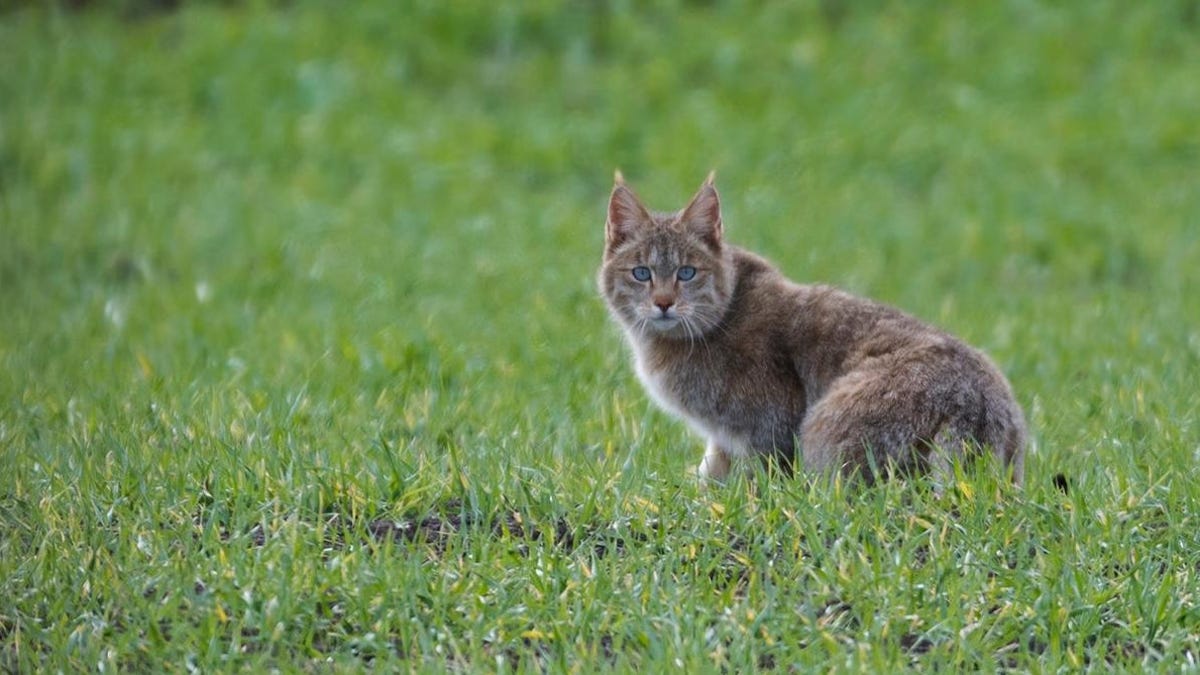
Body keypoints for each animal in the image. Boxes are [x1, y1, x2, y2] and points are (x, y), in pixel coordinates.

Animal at [595, 169, 1027, 482]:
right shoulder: (725, 437)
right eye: (641, 273)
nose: (664, 303)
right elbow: (713, 472)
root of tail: (980, 402)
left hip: (823, 427)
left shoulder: (772, 424)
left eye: (686, 272)